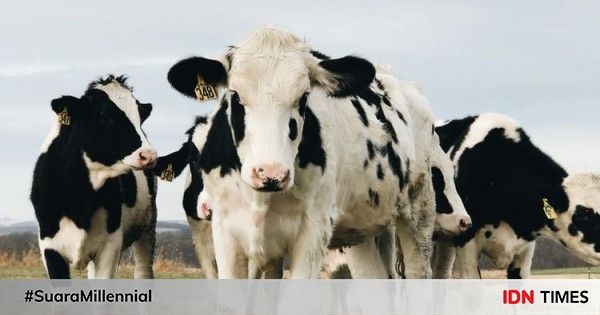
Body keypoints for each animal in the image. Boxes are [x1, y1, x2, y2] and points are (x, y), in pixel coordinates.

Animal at [30, 75, 158, 280]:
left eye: (140, 118)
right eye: (105, 117)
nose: (149, 155)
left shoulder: (110, 245)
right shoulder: (49, 246)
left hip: (148, 225)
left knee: (143, 270)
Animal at [164, 27, 446, 278]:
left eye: (303, 98)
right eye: (235, 95)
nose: (270, 174)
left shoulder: (313, 232)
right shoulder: (225, 233)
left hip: (419, 209)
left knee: (418, 272)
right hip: (362, 224)